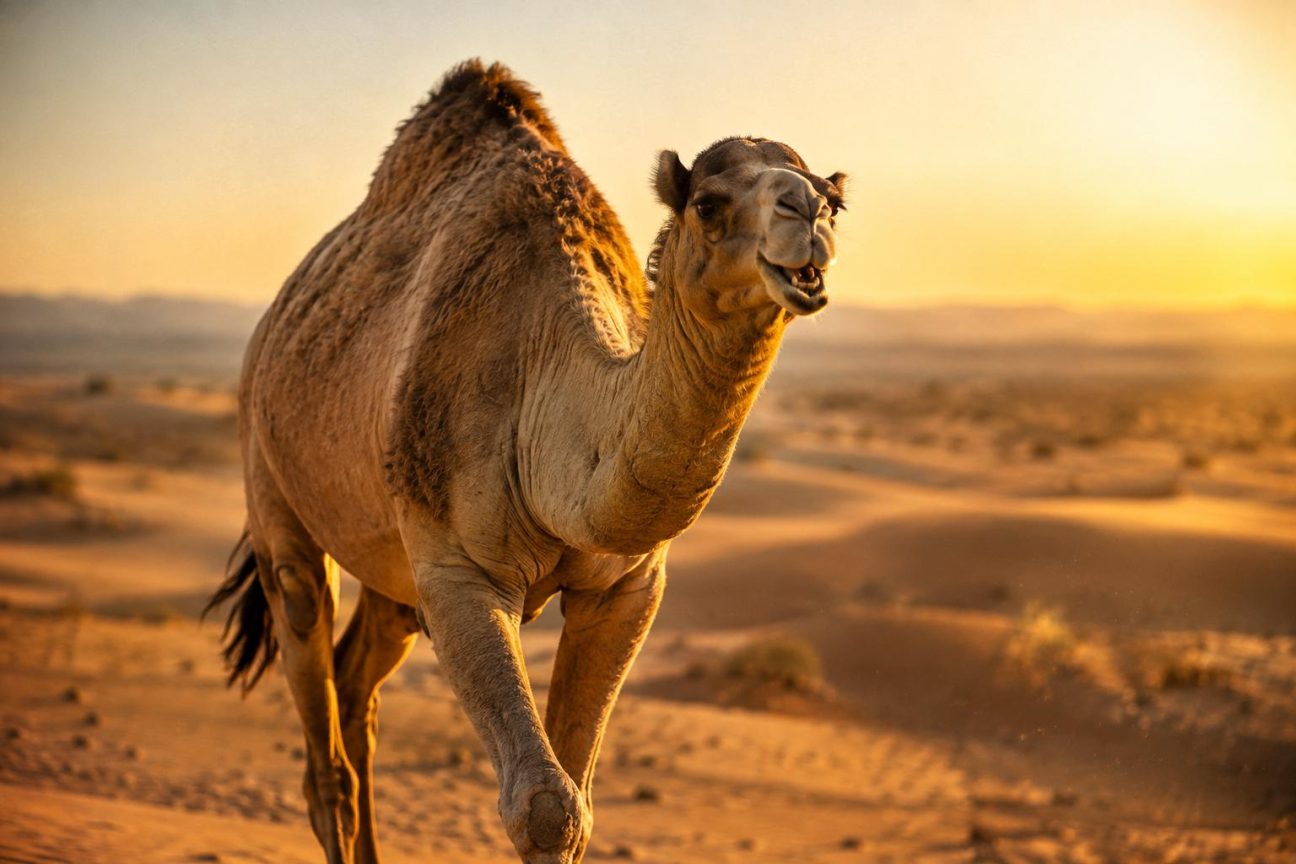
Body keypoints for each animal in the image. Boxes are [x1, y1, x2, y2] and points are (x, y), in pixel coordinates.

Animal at [206, 59, 845, 864]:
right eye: (708, 202)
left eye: (835, 199)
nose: (808, 216)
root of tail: (270, 326)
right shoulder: (458, 574)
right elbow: (545, 805)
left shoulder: (627, 588)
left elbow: (580, 804)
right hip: (270, 475)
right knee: (318, 713)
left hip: (392, 573)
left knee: (357, 692)